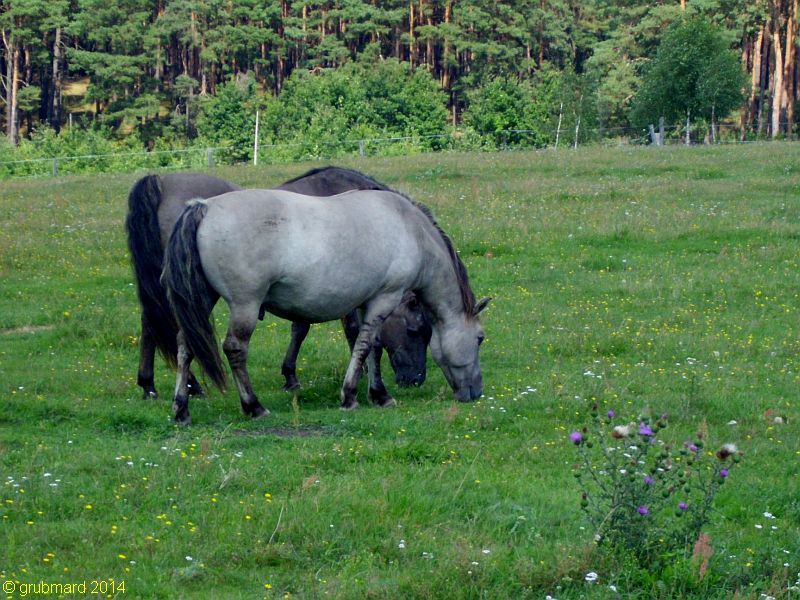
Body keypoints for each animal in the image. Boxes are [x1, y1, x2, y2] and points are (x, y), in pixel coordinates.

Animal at [162, 190, 488, 424]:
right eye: (480, 338)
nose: (476, 392)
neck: (411, 229)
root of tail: (204, 207)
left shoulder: (367, 302)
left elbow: (370, 346)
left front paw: (377, 394)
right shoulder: (385, 298)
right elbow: (365, 347)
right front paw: (353, 396)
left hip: (202, 303)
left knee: (185, 346)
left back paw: (181, 410)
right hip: (245, 305)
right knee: (235, 349)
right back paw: (254, 407)